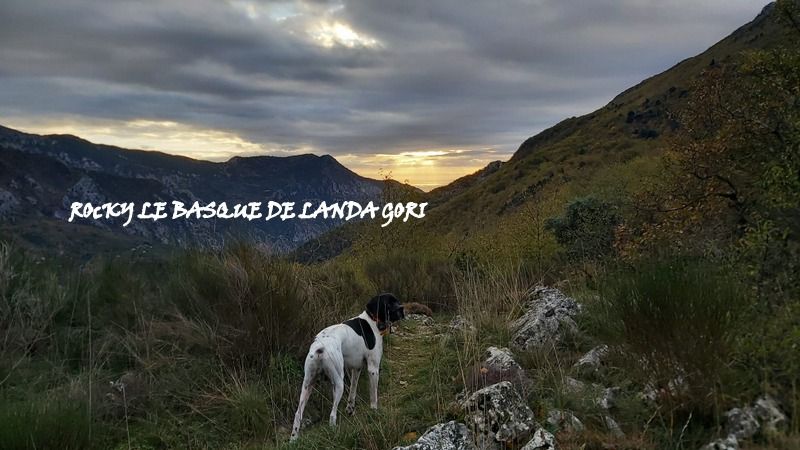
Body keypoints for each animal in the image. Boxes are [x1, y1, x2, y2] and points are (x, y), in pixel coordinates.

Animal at [290, 294, 406, 442]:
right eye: (389, 303)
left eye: (396, 301)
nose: (402, 309)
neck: (372, 321)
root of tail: (320, 348)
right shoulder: (373, 369)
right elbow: (373, 395)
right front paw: (374, 411)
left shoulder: (356, 369)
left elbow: (353, 391)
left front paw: (350, 409)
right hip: (338, 383)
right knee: (332, 415)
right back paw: (334, 432)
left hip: (308, 385)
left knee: (298, 414)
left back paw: (293, 439)